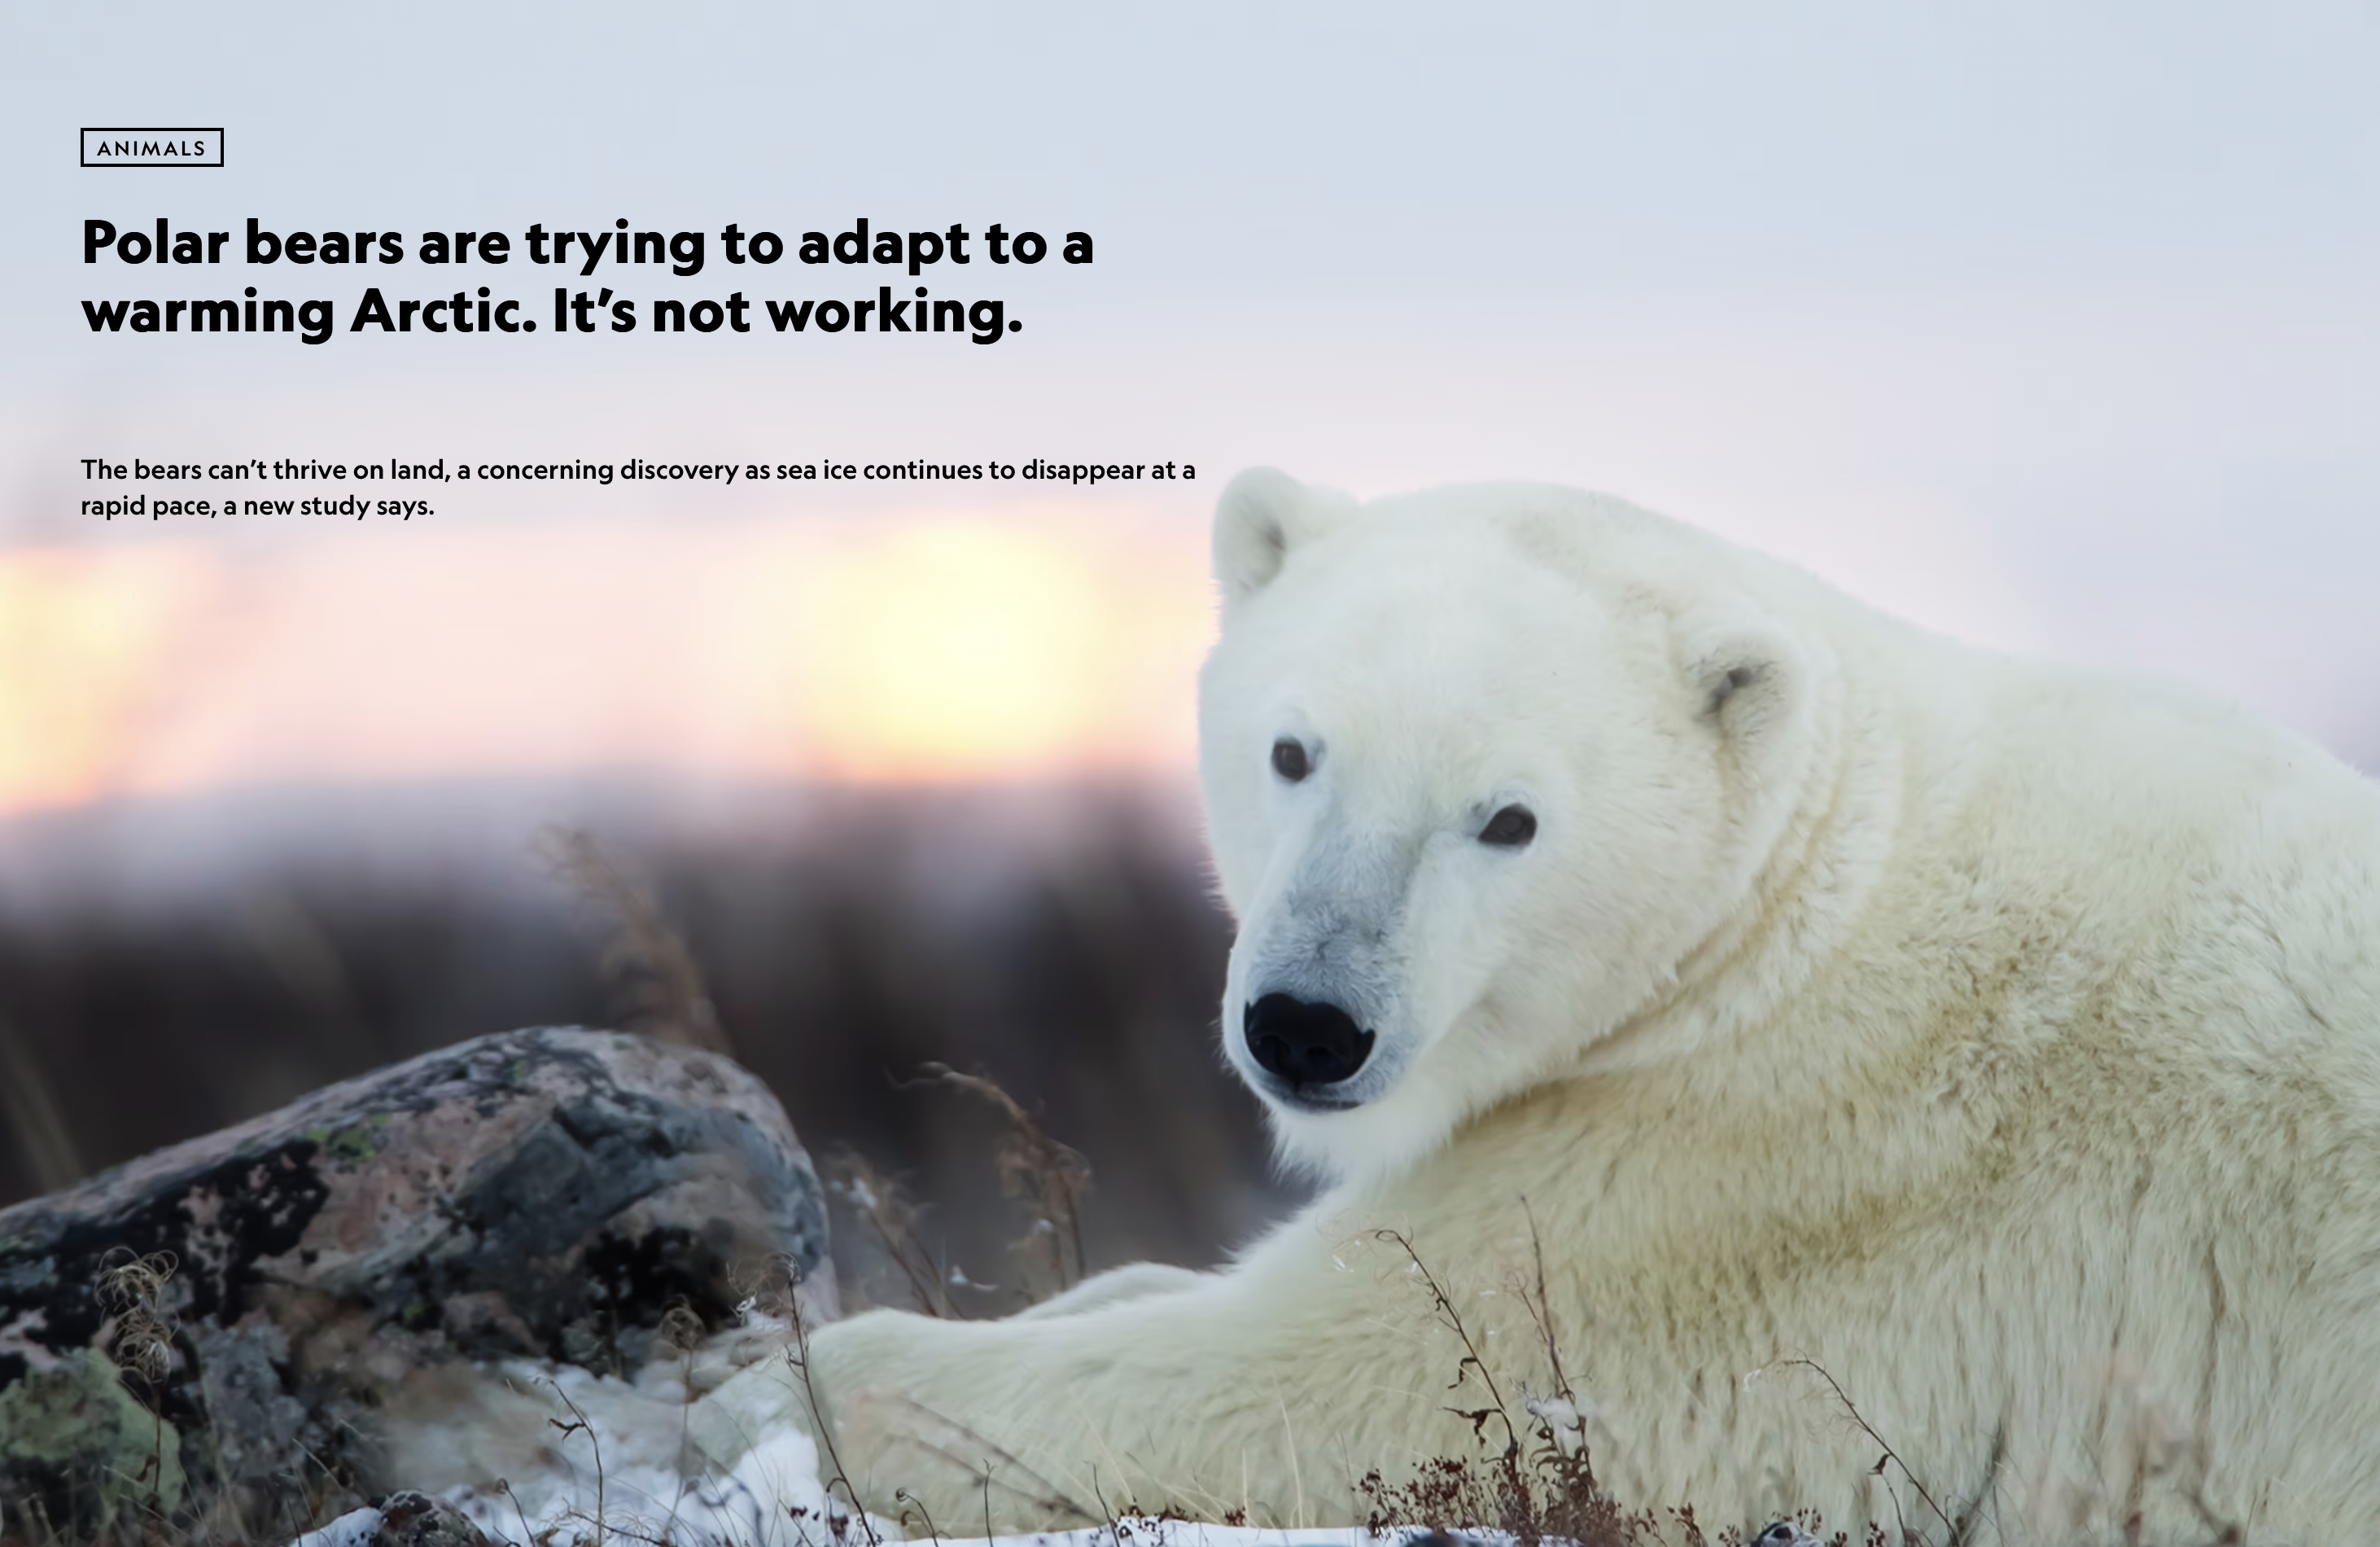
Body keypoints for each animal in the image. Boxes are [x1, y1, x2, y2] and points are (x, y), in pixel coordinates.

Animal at [685, 469, 2380, 1544]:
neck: (1793, 918)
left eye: (1504, 819)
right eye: (1292, 750)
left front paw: (753, 1396)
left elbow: (1356, 1387)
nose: (1306, 1026)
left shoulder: (1750, 1195)